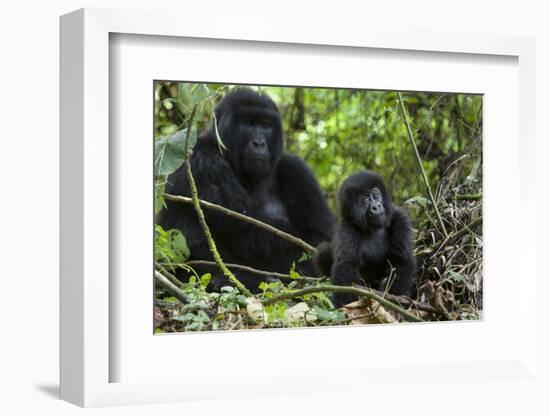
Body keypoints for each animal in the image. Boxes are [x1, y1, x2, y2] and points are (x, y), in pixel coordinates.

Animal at [157, 89, 334, 290]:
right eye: (248, 123)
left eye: (266, 125)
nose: (259, 143)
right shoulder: (202, 159)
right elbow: (250, 233)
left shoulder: (297, 169)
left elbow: (319, 236)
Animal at [316, 171, 416, 308]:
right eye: (365, 200)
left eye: (376, 195)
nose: (376, 206)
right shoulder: (348, 228)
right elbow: (346, 266)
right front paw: (344, 306)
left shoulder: (400, 218)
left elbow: (402, 260)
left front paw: (397, 299)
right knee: (323, 250)